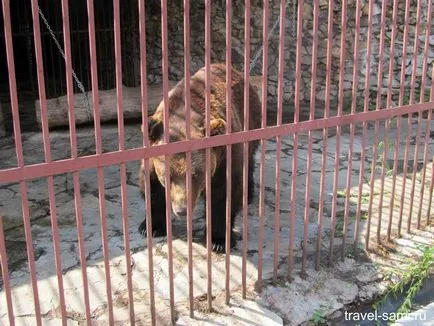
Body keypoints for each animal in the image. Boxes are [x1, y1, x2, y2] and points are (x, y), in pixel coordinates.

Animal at [139, 63, 262, 252]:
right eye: (167, 176)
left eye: (196, 174)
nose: (182, 210)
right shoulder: (153, 158)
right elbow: (153, 188)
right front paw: (150, 227)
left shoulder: (223, 157)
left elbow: (224, 194)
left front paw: (218, 240)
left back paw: (247, 194)